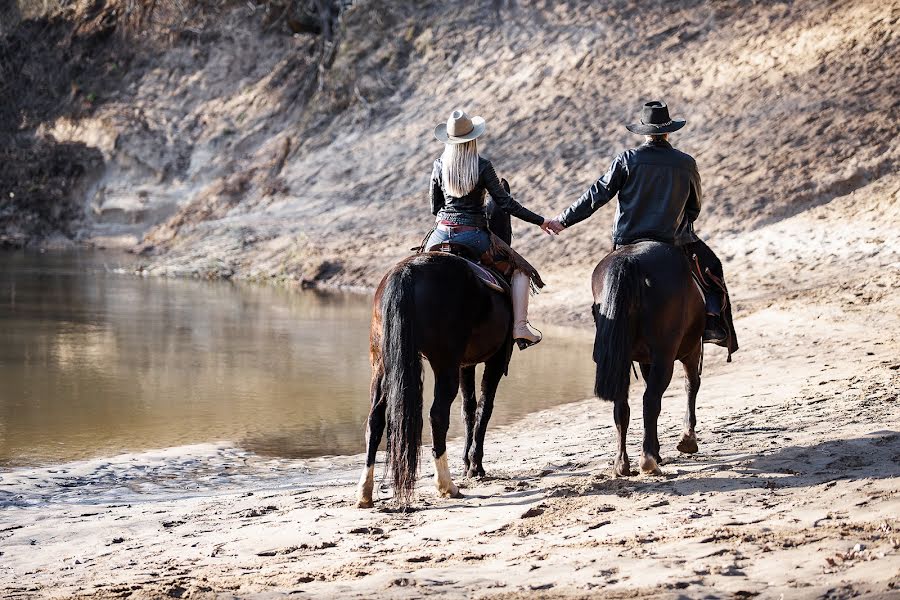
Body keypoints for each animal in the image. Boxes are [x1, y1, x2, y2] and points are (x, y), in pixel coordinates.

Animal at [356, 200, 512, 506]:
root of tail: (408, 271)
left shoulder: (466, 363)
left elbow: (469, 408)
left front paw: (468, 462)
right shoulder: (495, 359)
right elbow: (483, 407)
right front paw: (475, 466)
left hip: (381, 364)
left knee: (375, 420)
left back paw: (365, 493)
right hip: (444, 363)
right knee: (438, 415)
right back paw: (447, 486)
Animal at [592, 241, 712, 476]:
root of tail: (630, 260)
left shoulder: (644, 360)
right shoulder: (691, 350)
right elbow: (691, 385)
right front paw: (688, 439)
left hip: (623, 359)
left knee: (622, 406)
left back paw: (622, 463)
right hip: (666, 355)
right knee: (651, 400)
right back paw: (647, 460)